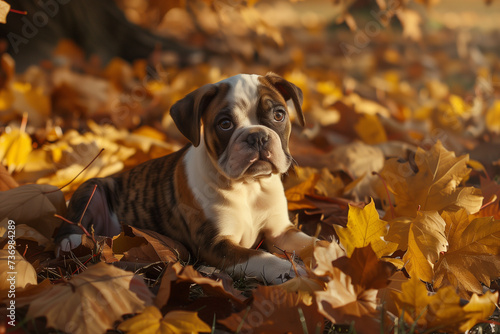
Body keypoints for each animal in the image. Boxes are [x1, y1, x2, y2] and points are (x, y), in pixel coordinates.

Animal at [57, 72, 316, 284]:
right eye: (225, 124)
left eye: (279, 115)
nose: (257, 136)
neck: (249, 187)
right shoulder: (215, 246)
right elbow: (260, 256)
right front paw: (289, 270)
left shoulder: (281, 231)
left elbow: (310, 242)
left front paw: (324, 255)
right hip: (92, 188)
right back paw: (72, 243)